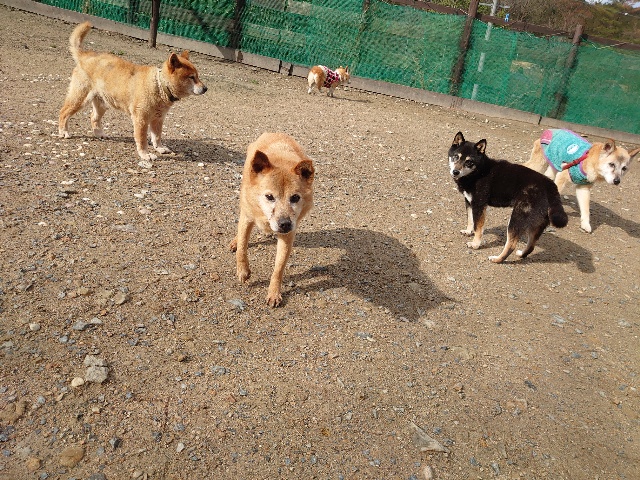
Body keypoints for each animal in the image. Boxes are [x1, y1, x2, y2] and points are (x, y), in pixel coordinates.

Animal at [58, 22, 207, 161]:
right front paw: (145, 155)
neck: (159, 86)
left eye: (198, 76)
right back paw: (63, 132)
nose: (206, 88)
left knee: (93, 117)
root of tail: (85, 56)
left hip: (102, 104)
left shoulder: (158, 119)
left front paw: (159, 148)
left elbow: (157, 137)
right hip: (79, 99)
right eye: (192, 77)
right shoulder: (141, 119)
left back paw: (99, 134)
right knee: (63, 112)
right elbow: (142, 140)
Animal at [230, 132, 315, 307]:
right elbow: (242, 247)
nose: (285, 224)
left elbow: (279, 268)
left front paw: (274, 293)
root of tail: (274, 133)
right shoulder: (248, 217)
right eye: (269, 196)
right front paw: (243, 271)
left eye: (295, 198)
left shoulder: (288, 236)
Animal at [449, 132, 568, 263]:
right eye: (456, 156)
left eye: (469, 162)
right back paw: (521, 254)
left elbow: (478, 228)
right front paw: (468, 231)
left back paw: (497, 259)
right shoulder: (469, 202)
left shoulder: (479, 205)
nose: (455, 172)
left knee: (511, 244)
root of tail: (550, 186)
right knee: (531, 245)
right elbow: (471, 220)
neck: (478, 172)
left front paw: (475, 244)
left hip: (517, 218)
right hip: (537, 223)